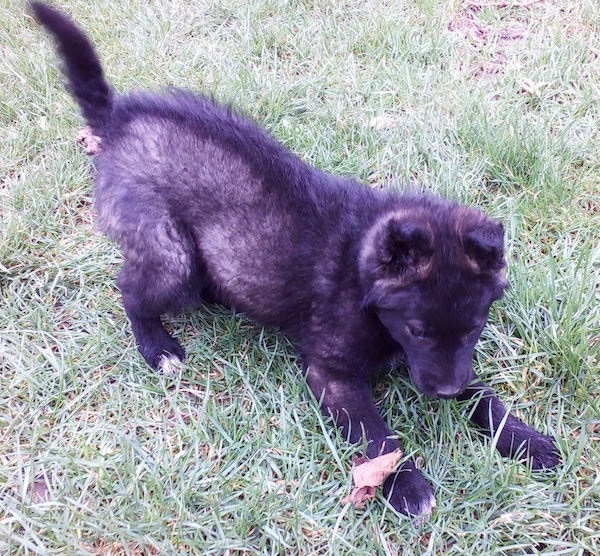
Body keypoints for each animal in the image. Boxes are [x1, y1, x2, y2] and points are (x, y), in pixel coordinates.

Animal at [31, 3, 556, 516]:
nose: (444, 394)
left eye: (475, 328)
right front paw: (406, 486)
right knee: (130, 289)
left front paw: (526, 440)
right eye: (417, 330)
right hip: (169, 252)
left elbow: (484, 397)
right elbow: (378, 439)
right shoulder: (334, 376)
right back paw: (158, 347)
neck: (360, 279)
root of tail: (117, 118)